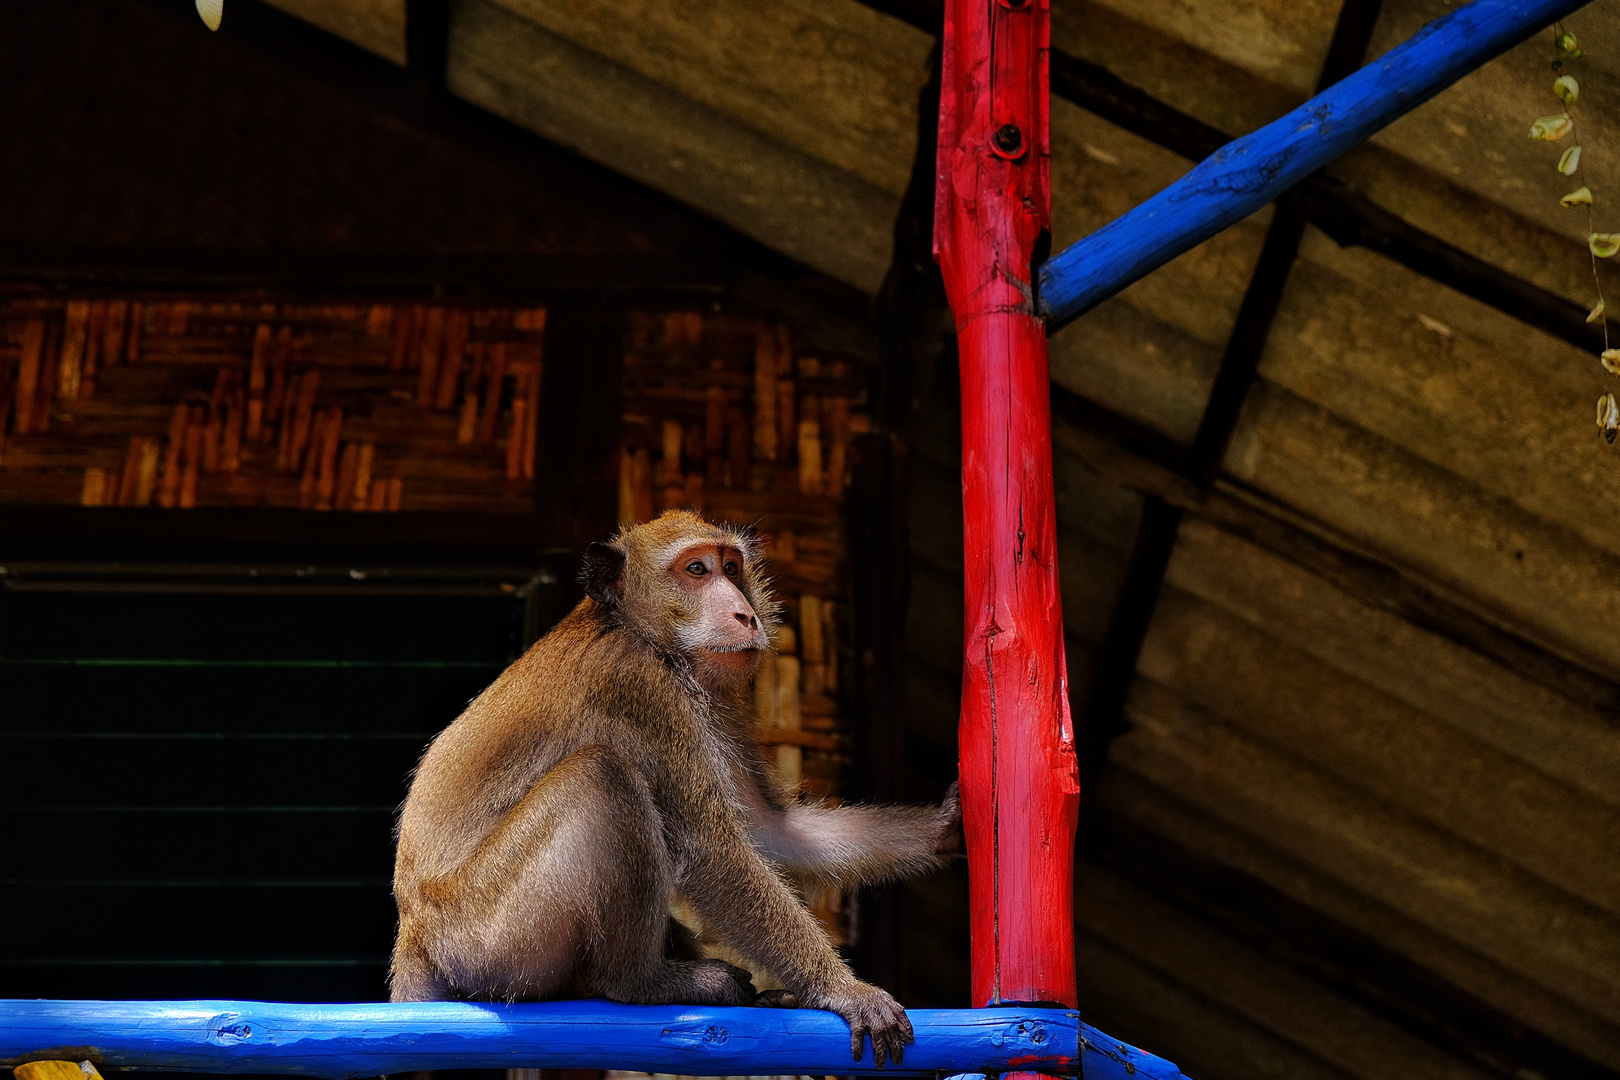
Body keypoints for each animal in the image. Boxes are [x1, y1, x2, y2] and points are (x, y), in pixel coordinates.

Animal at [388, 511, 959, 1068]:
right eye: (696, 570)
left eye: (731, 568)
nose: (745, 615)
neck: (638, 631)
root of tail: (414, 935)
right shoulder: (640, 687)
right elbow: (714, 852)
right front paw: (847, 990)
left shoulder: (720, 699)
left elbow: (772, 830)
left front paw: (944, 830)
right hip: (488, 938)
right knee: (603, 777)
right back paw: (642, 982)